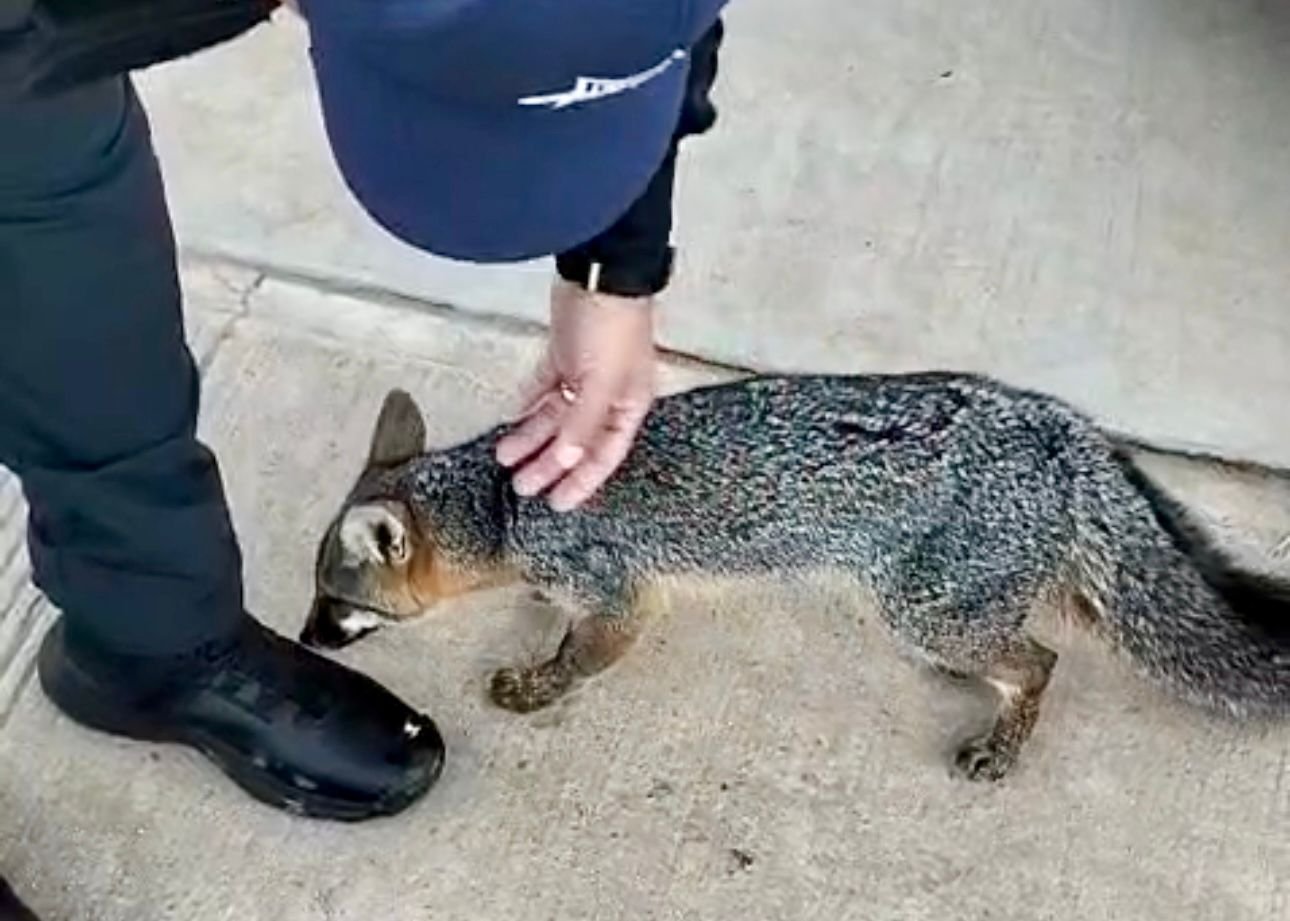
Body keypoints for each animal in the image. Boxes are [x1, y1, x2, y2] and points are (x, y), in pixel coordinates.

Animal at [299, 372, 1290, 781]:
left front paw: (537, 685)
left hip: (922, 608)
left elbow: (581, 656)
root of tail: (1061, 429)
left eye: (335, 602)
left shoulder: (624, 596)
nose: (304, 638)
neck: (507, 503)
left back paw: (1002, 742)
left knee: (1040, 661)